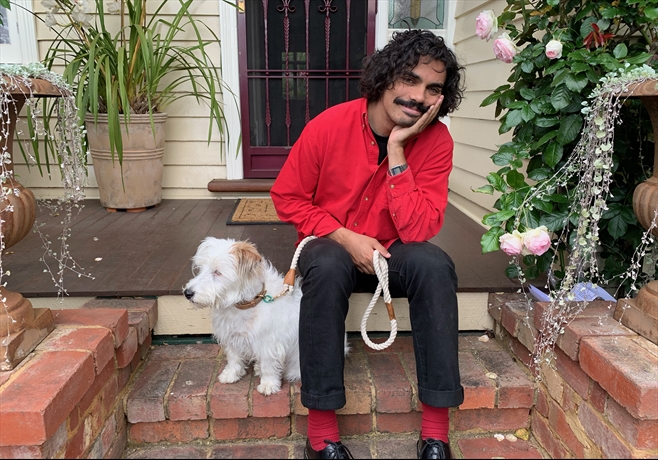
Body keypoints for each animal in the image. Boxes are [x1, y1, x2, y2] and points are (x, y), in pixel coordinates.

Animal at [181, 237, 302, 396]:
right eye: (201, 269)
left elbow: (268, 365)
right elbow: (233, 357)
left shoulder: (267, 343)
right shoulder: (231, 336)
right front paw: (231, 374)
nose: (187, 293)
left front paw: (268, 384)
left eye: (217, 272)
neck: (246, 305)